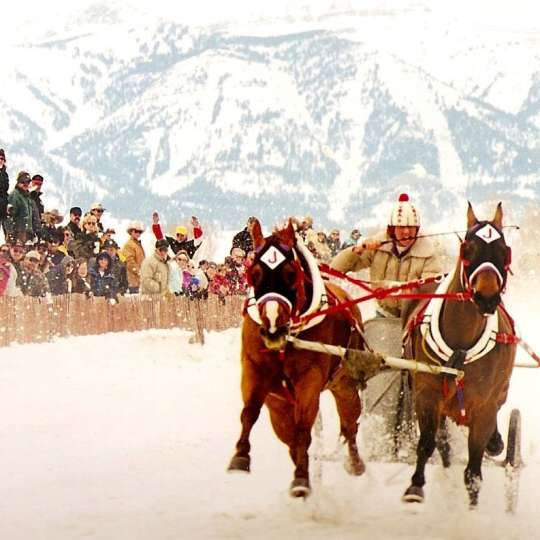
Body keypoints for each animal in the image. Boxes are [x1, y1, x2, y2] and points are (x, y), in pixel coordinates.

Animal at [226, 218, 364, 494]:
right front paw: (241, 456)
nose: (272, 327)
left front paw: (301, 477)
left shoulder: (309, 378)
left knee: (349, 424)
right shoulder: (255, 369)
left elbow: (302, 429)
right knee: (289, 435)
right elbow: (249, 413)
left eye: (291, 273)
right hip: (280, 404)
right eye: (254, 274)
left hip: (344, 384)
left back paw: (355, 464)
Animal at [402, 202, 516, 506]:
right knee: (441, 440)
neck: (461, 346)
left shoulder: (484, 407)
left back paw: (496, 441)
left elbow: (474, 469)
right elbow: (428, 443)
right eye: (468, 248)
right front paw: (415, 485)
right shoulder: (427, 394)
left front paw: (472, 505)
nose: (486, 297)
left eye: (504, 249)